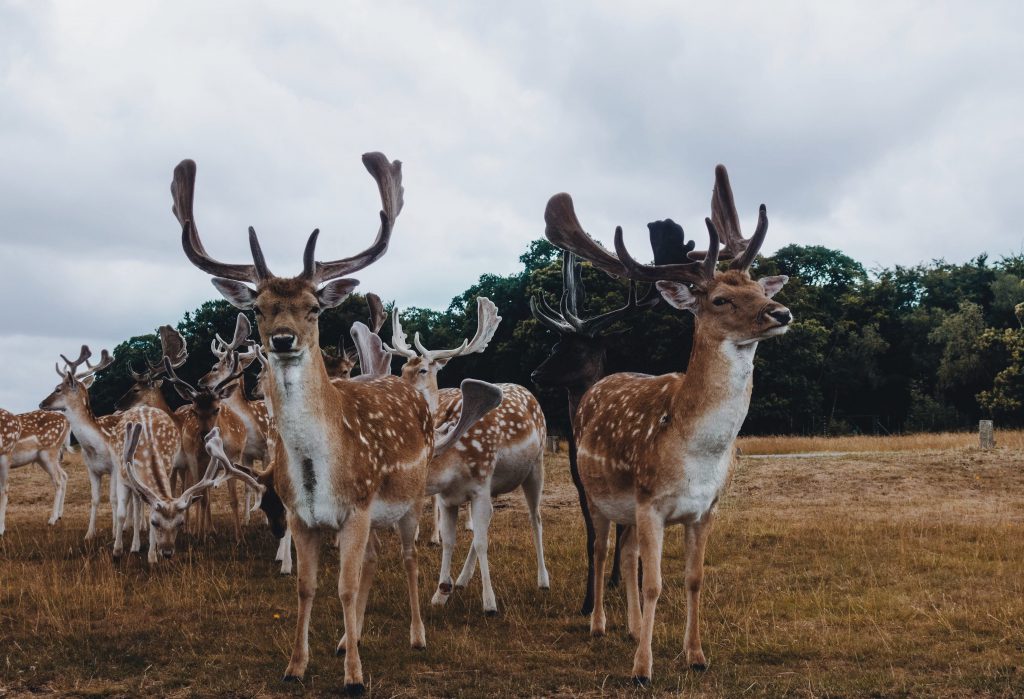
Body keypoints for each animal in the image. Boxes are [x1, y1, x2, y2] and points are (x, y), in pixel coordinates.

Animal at [40, 346, 180, 559]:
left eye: (58, 389)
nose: (41, 403)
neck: (95, 444)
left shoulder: (114, 468)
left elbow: (114, 500)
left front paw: (115, 533)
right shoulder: (91, 469)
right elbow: (95, 499)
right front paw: (90, 534)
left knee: (136, 500)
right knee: (136, 499)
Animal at [173, 151, 501, 692]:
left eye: (312, 307)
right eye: (259, 307)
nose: (282, 338)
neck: (318, 469)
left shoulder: (358, 507)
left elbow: (344, 588)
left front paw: (353, 678)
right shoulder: (302, 516)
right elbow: (307, 588)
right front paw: (297, 666)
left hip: (409, 499)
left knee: (408, 558)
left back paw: (416, 634)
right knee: (372, 561)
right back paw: (350, 639)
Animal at [387, 297, 550, 613]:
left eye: (423, 370)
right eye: (401, 369)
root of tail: (528, 391)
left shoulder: (479, 486)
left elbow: (482, 541)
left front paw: (490, 602)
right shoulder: (451, 497)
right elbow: (452, 541)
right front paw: (440, 592)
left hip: (536, 466)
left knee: (535, 517)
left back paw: (543, 580)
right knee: (486, 525)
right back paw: (461, 580)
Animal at [543, 164, 792, 684]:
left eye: (759, 290)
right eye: (720, 299)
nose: (781, 312)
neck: (695, 453)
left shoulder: (706, 508)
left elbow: (692, 579)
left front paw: (695, 656)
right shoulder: (651, 501)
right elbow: (655, 583)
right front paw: (643, 669)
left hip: (627, 508)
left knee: (626, 555)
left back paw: (635, 629)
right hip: (597, 493)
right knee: (601, 549)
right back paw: (599, 624)